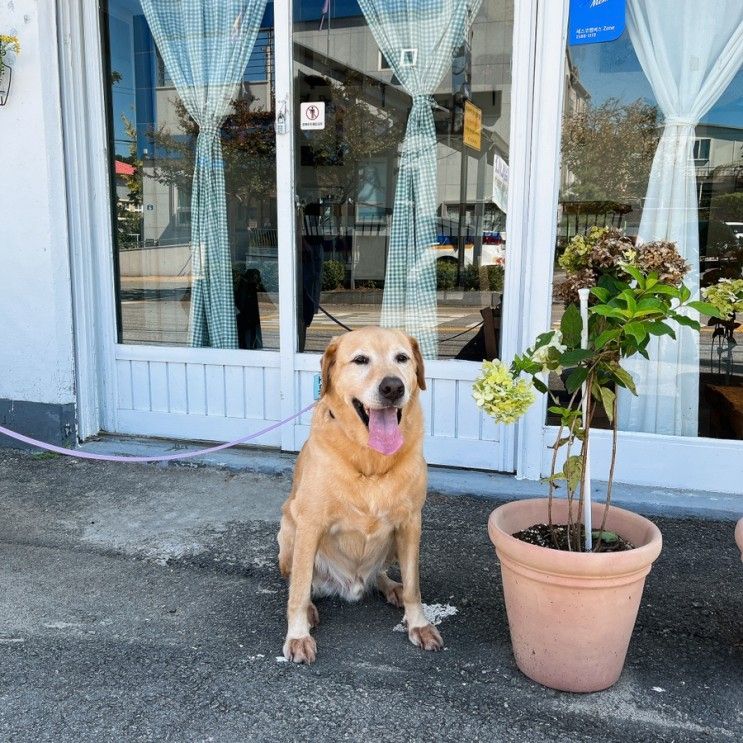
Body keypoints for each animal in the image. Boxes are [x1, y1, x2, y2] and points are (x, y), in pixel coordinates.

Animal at [278, 328, 442, 664]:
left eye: (402, 358)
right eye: (360, 360)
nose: (393, 387)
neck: (371, 460)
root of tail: (348, 584)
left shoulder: (411, 522)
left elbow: (414, 586)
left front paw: (418, 624)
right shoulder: (309, 523)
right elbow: (298, 589)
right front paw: (298, 635)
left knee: (379, 574)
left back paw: (389, 586)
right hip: (289, 527)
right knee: (300, 579)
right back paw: (311, 608)